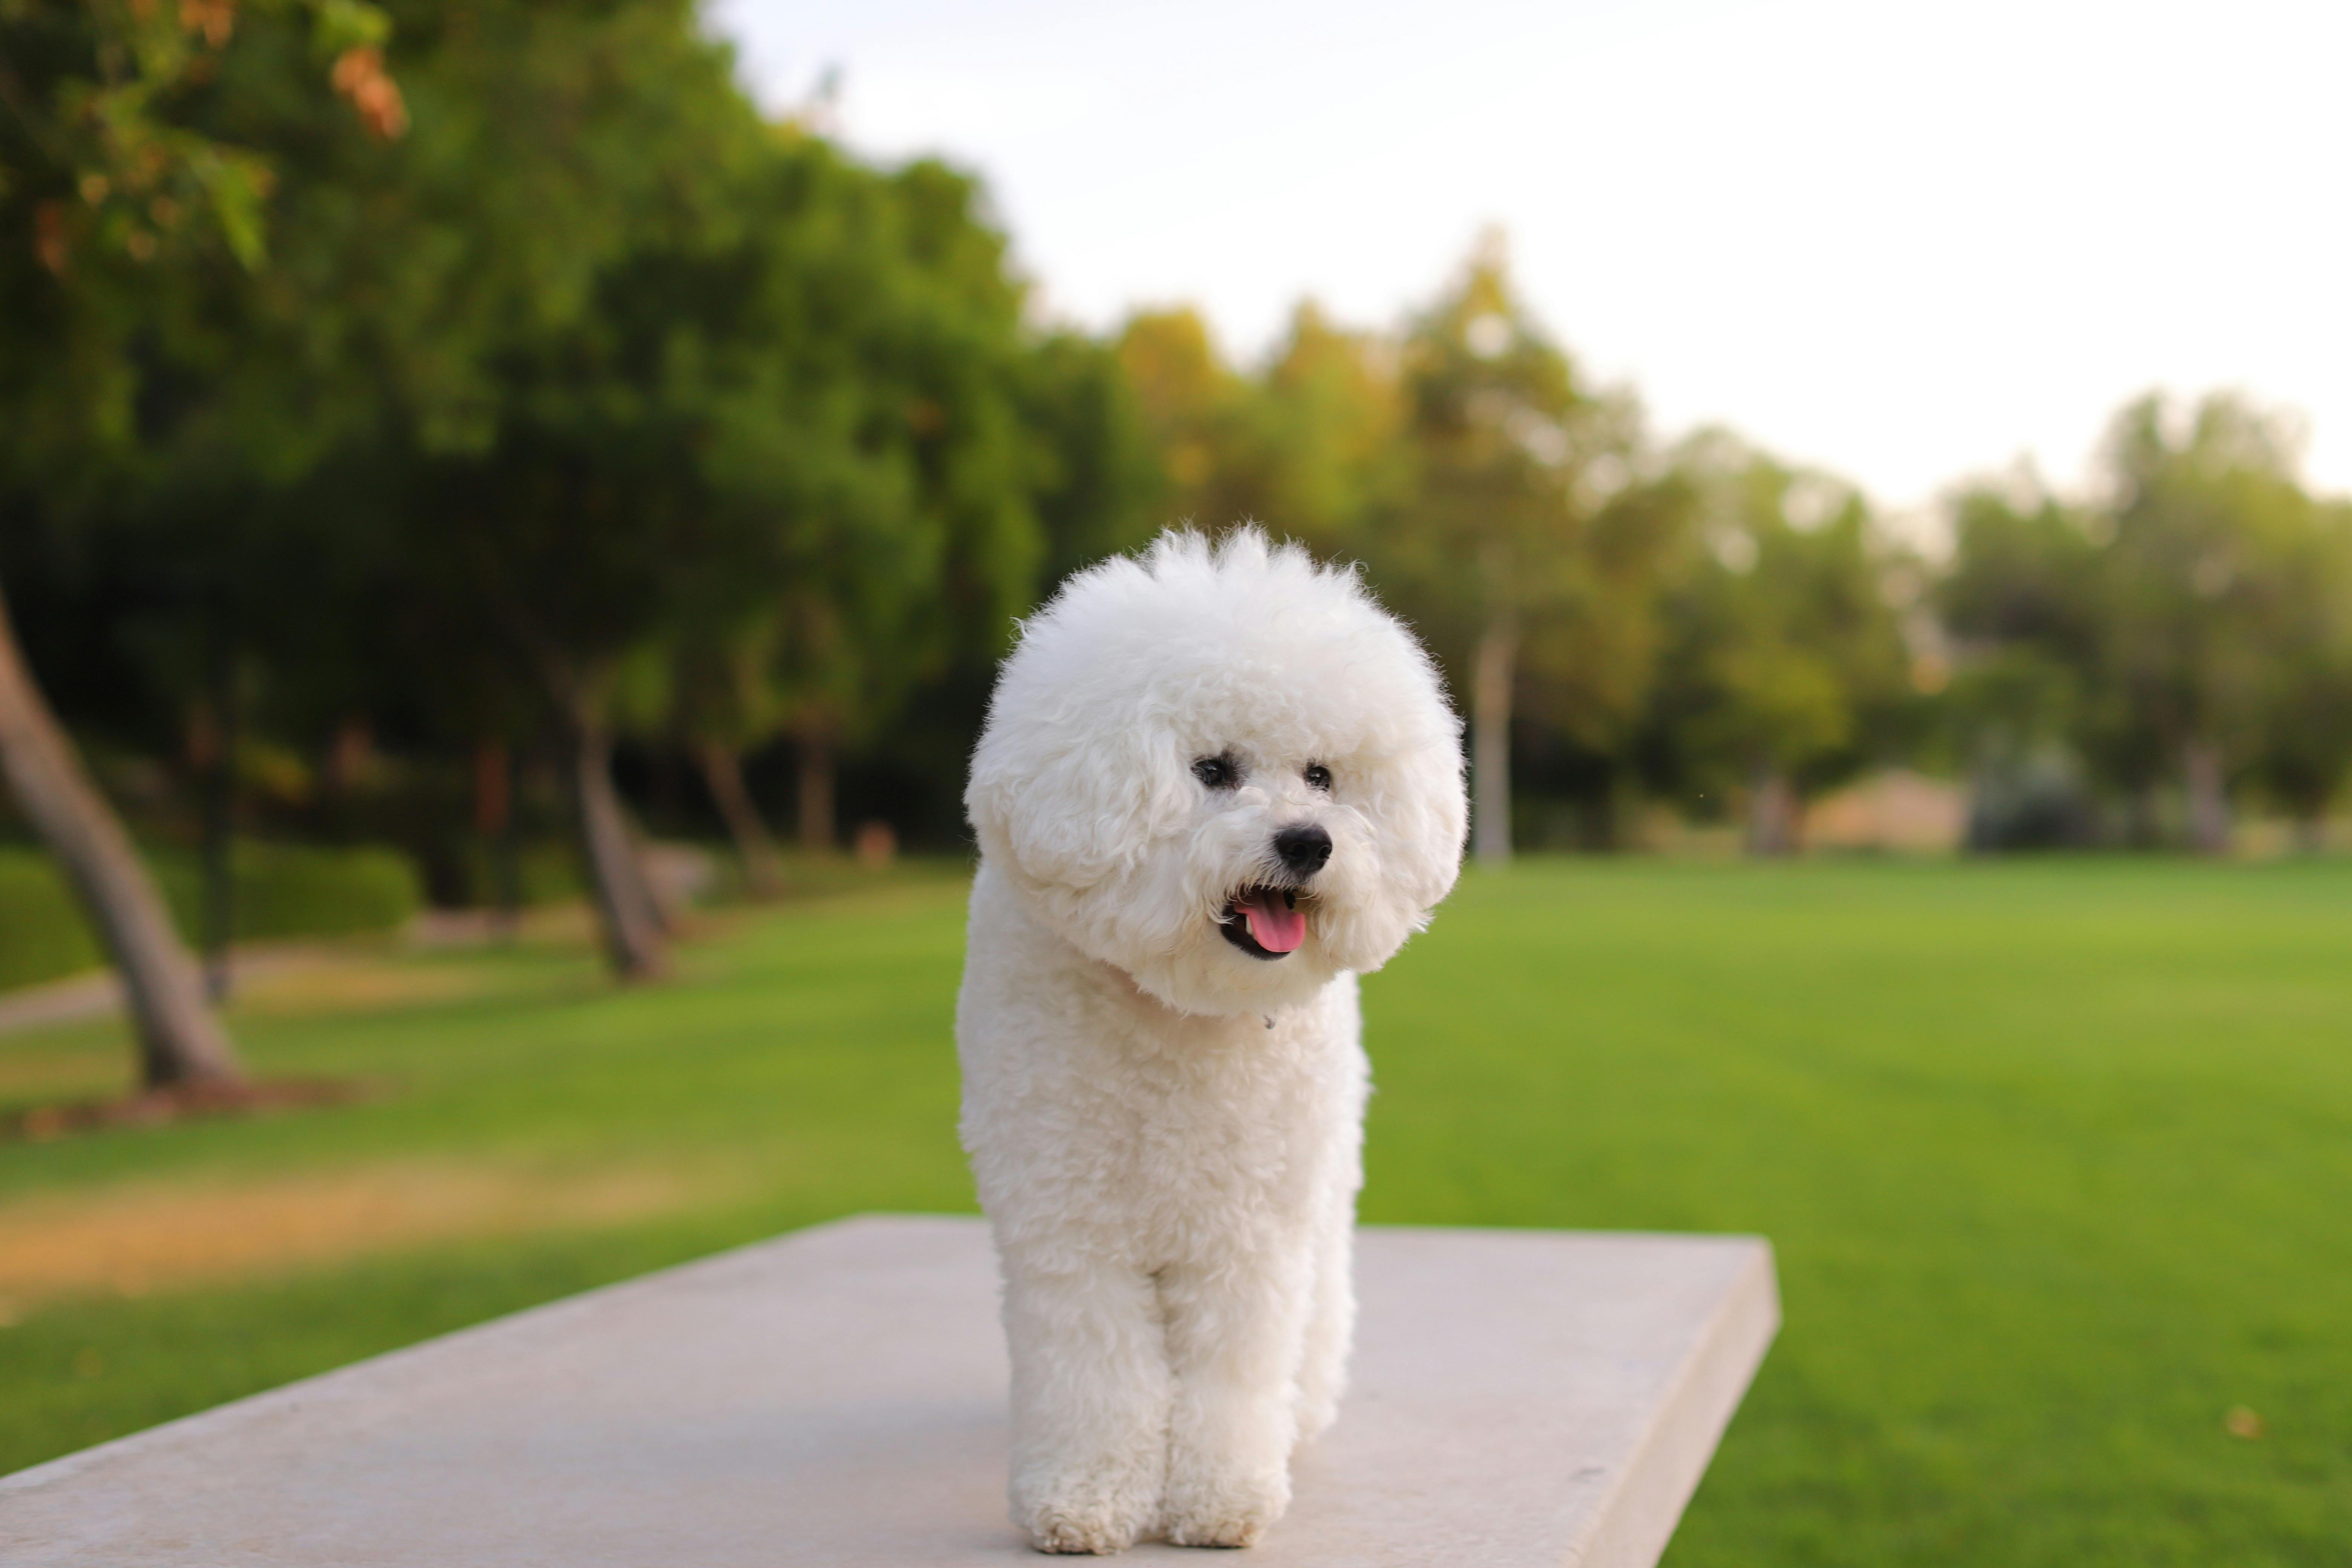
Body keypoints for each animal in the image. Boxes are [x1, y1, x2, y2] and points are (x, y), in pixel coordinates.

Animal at [950, 531, 1458, 1561]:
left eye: (1322, 775)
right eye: (1214, 770)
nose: (1307, 843)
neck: (1176, 1017)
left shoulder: (1249, 1231)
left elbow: (1234, 1369)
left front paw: (1222, 1496)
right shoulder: (1068, 1219)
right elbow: (1094, 1370)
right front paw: (1085, 1496)